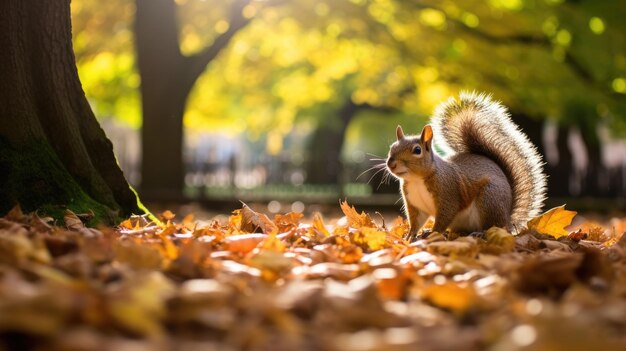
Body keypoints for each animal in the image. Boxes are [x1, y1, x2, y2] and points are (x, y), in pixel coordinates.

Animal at [388, 91, 544, 242]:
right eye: (392, 147)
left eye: (417, 150)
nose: (391, 164)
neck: (417, 180)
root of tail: (508, 219)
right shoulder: (415, 204)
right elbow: (416, 222)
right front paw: (409, 236)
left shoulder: (448, 194)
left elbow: (444, 218)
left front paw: (432, 233)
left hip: (489, 200)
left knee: (492, 226)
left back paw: (480, 233)